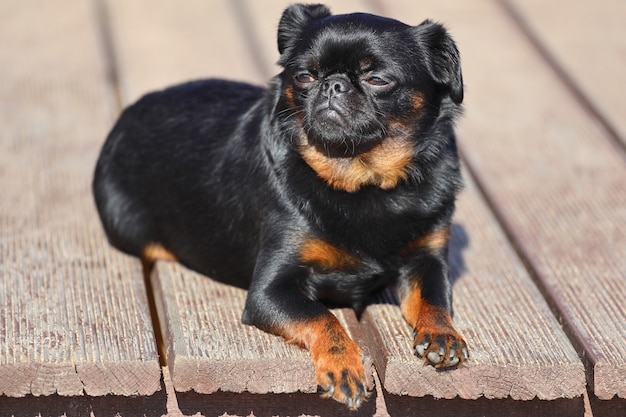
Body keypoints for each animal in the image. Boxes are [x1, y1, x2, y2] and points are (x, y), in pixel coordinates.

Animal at [92, 2, 466, 406]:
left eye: (377, 80)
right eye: (304, 76)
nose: (332, 84)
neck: (362, 182)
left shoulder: (427, 260)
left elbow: (434, 298)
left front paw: (442, 333)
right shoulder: (270, 292)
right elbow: (322, 316)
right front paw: (343, 365)